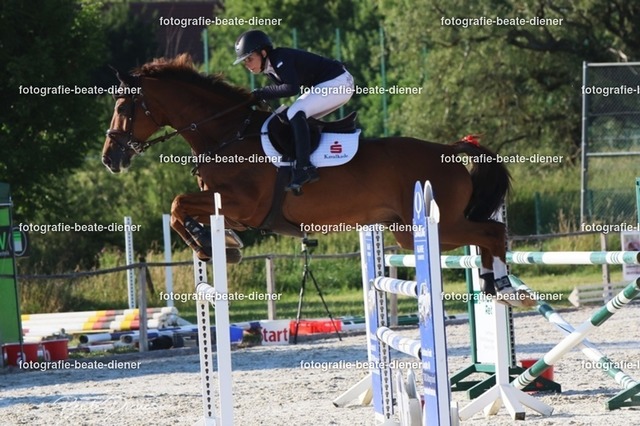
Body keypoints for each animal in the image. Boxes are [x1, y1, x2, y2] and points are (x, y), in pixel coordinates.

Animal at [102, 53, 533, 306]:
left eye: (123, 107)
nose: (110, 158)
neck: (227, 134)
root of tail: (448, 149)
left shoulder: (245, 205)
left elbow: (178, 204)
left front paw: (212, 245)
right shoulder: (230, 208)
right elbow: (183, 209)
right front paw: (220, 244)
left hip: (439, 223)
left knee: (493, 232)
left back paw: (504, 287)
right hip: (408, 234)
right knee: (487, 235)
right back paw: (497, 287)